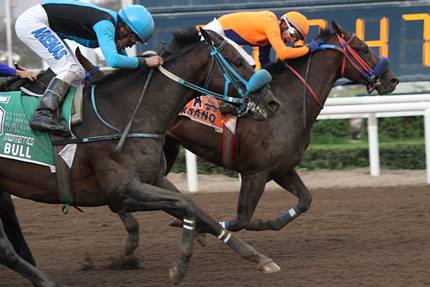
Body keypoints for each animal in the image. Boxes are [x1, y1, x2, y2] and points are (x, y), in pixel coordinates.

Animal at [0, 29, 280, 287]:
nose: (271, 101)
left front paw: (259, 258)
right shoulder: (121, 191)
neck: (125, 114)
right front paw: (179, 266)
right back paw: (48, 282)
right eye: (238, 61)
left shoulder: (153, 178)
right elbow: (186, 205)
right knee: (6, 250)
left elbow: (201, 212)